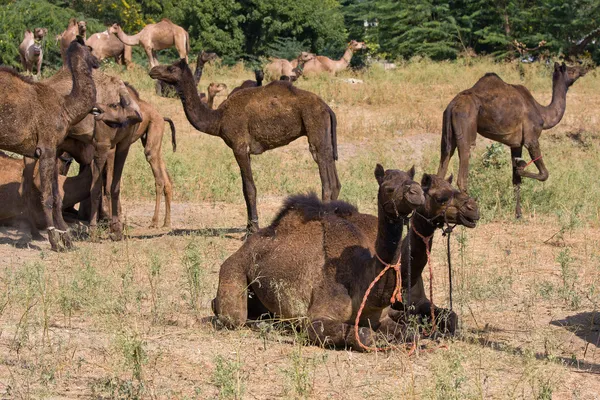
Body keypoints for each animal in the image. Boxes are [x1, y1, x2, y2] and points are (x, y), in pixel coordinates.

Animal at [0, 37, 99, 250]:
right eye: (90, 48)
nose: (97, 61)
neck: (66, 108)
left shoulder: (54, 151)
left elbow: (57, 197)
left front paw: (67, 239)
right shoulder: (45, 148)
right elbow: (46, 196)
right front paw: (55, 241)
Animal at [148, 58, 340, 233]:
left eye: (171, 68)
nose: (153, 71)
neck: (218, 119)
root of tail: (327, 107)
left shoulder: (239, 147)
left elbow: (250, 188)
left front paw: (253, 229)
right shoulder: (244, 151)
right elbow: (244, 188)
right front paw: (248, 227)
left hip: (314, 127)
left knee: (326, 179)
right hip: (324, 134)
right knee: (334, 175)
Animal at [213, 163, 424, 350]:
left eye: (414, 181)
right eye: (389, 188)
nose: (417, 192)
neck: (362, 278)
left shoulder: (380, 317)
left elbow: (411, 333)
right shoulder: (317, 317)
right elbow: (364, 335)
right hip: (235, 266)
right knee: (233, 316)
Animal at [436, 63, 584, 217]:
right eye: (572, 69)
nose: (583, 69)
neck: (543, 113)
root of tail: (453, 105)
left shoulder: (516, 144)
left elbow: (516, 181)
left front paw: (518, 214)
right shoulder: (531, 138)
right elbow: (544, 174)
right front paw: (521, 168)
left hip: (446, 131)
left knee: (444, 160)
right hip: (466, 122)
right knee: (463, 169)